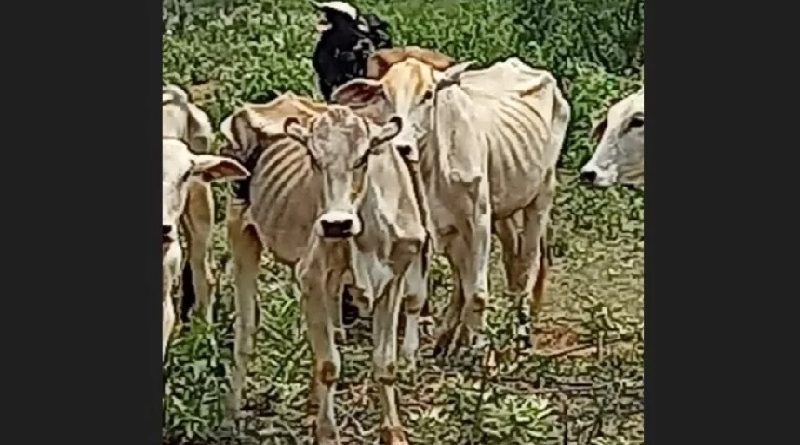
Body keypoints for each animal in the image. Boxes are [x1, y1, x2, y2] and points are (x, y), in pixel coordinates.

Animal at [219, 94, 428, 444]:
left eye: (362, 158)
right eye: (314, 159)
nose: (336, 223)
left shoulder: (393, 279)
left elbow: (385, 364)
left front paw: (393, 431)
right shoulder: (312, 276)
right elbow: (329, 365)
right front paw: (328, 433)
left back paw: (312, 404)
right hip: (241, 232)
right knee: (246, 329)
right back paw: (232, 413)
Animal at [332, 47, 571, 355]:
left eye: (428, 94)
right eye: (384, 94)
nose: (401, 145)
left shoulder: (479, 220)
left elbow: (478, 291)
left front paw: (477, 346)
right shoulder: (430, 227)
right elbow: (438, 288)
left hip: (541, 195)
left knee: (528, 262)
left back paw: (519, 333)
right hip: (500, 212)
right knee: (500, 263)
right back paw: (452, 337)